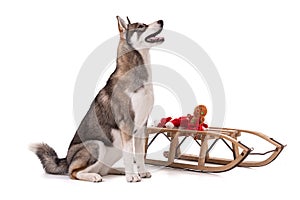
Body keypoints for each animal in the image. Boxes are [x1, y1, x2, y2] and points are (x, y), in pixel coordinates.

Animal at [30, 16, 164, 182]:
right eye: (140, 26)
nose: (161, 21)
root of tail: (66, 159)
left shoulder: (141, 126)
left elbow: (139, 155)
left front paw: (142, 172)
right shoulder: (126, 124)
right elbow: (129, 155)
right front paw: (132, 176)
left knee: (103, 169)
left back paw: (118, 170)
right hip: (97, 145)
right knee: (74, 173)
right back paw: (94, 176)